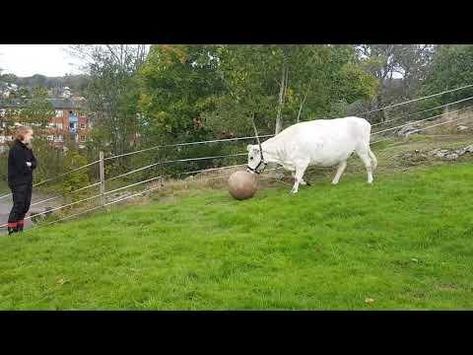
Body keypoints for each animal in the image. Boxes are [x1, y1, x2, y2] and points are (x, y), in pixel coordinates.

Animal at [247, 116, 376, 195]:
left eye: (251, 157)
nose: (248, 171)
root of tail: (364, 121)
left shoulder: (302, 162)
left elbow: (297, 176)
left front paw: (294, 190)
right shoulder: (295, 163)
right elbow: (295, 175)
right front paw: (305, 183)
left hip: (361, 149)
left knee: (368, 163)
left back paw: (369, 180)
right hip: (344, 154)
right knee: (342, 166)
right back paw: (334, 182)